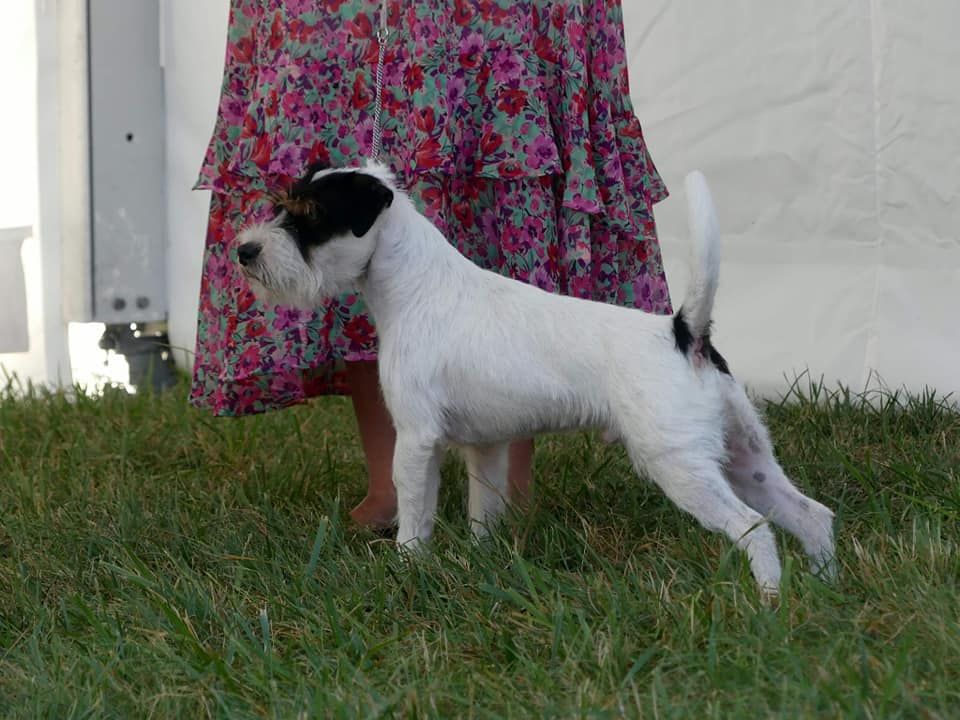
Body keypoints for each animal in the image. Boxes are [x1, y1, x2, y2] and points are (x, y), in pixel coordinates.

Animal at [236, 163, 836, 596]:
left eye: (310, 214)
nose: (245, 250)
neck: (419, 285)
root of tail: (685, 333)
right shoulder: (485, 447)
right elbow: (483, 512)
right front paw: (477, 562)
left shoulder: (416, 439)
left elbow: (415, 512)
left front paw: (408, 567)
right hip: (746, 459)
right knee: (811, 516)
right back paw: (821, 590)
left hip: (682, 466)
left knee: (754, 528)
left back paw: (768, 602)